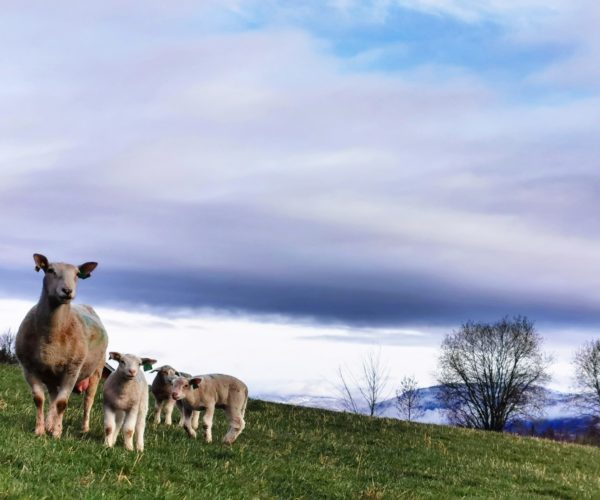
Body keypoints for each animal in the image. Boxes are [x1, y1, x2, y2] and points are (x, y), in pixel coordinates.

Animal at [15, 254, 108, 438]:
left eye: (77, 274)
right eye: (50, 270)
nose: (67, 291)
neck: (51, 337)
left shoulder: (72, 369)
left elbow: (62, 403)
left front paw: (57, 433)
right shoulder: (28, 368)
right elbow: (39, 399)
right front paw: (40, 430)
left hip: (96, 371)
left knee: (88, 401)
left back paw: (84, 428)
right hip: (51, 374)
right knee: (52, 398)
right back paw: (49, 424)